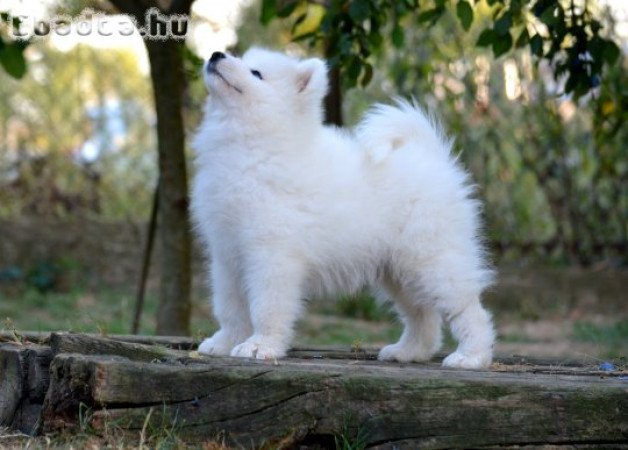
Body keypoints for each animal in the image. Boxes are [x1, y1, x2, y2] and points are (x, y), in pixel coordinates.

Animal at [191, 47, 496, 370]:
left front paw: (260, 346)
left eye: (256, 73)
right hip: (398, 270)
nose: (216, 54)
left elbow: (266, 306)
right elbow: (229, 306)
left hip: (434, 259)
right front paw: (225, 342)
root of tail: (431, 156)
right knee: (422, 315)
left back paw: (471, 355)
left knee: (467, 308)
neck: (253, 146)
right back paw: (409, 351)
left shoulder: (271, 255)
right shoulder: (226, 254)